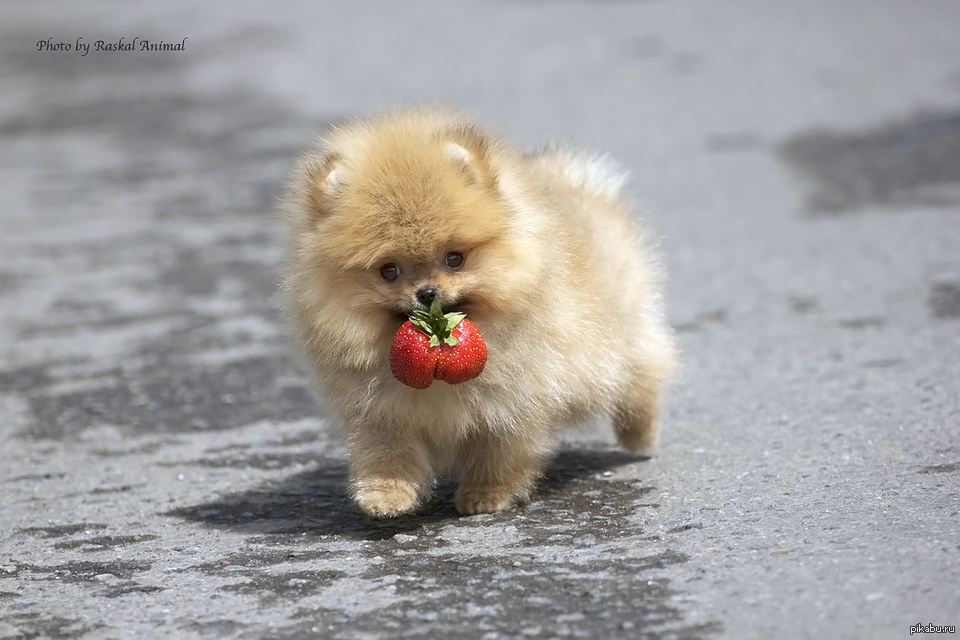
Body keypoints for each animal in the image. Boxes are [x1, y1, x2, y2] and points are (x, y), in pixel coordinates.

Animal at [282, 107, 680, 516]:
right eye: (389, 271)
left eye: (454, 258)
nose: (427, 292)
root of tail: (577, 185)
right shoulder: (381, 413)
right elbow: (388, 454)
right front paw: (385, 495)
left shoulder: (512, 405)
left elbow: (499, 453)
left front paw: (487, 494)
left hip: (623, 338)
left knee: (644, 377)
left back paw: (640, 436)